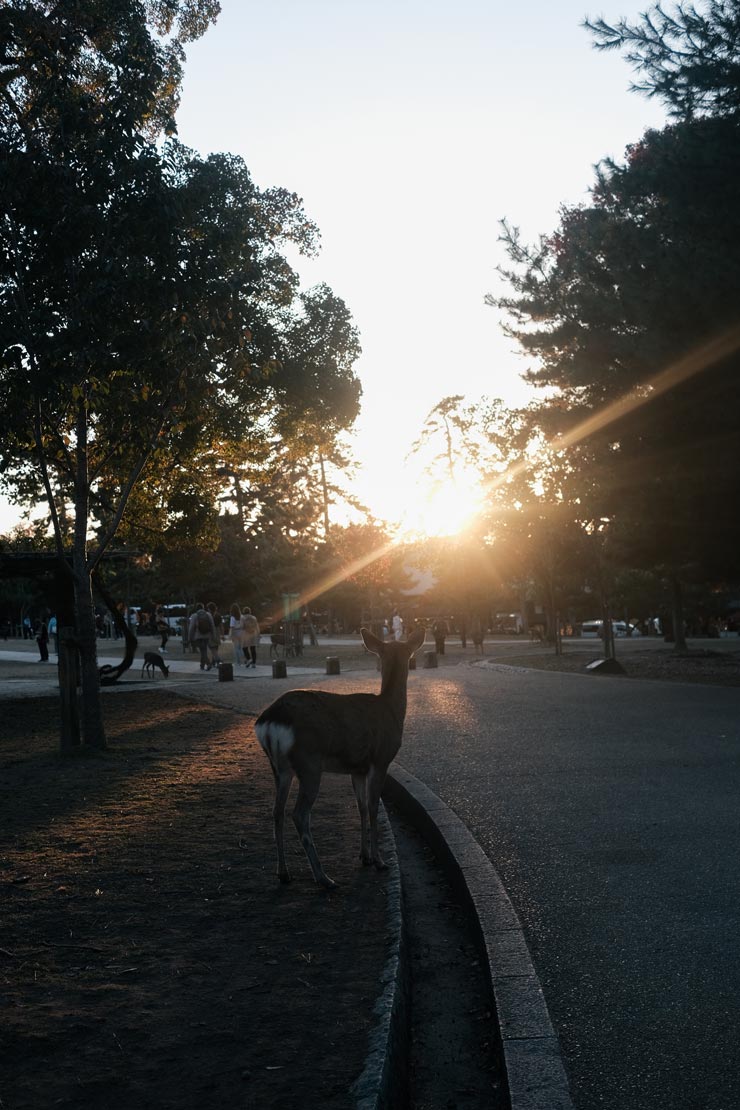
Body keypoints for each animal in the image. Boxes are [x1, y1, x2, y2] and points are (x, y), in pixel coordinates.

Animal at [254, 625, 426, 890]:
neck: (392, 710)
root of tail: (269, 721)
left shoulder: (358, 768)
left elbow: (361, 807)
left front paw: (364, 857)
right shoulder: (381, 759)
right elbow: (373, 806)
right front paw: (379, 861)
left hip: (279, 768)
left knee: (277, 811)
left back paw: (283, 873)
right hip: (309, 763)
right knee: (299, 814)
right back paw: (323, 877)